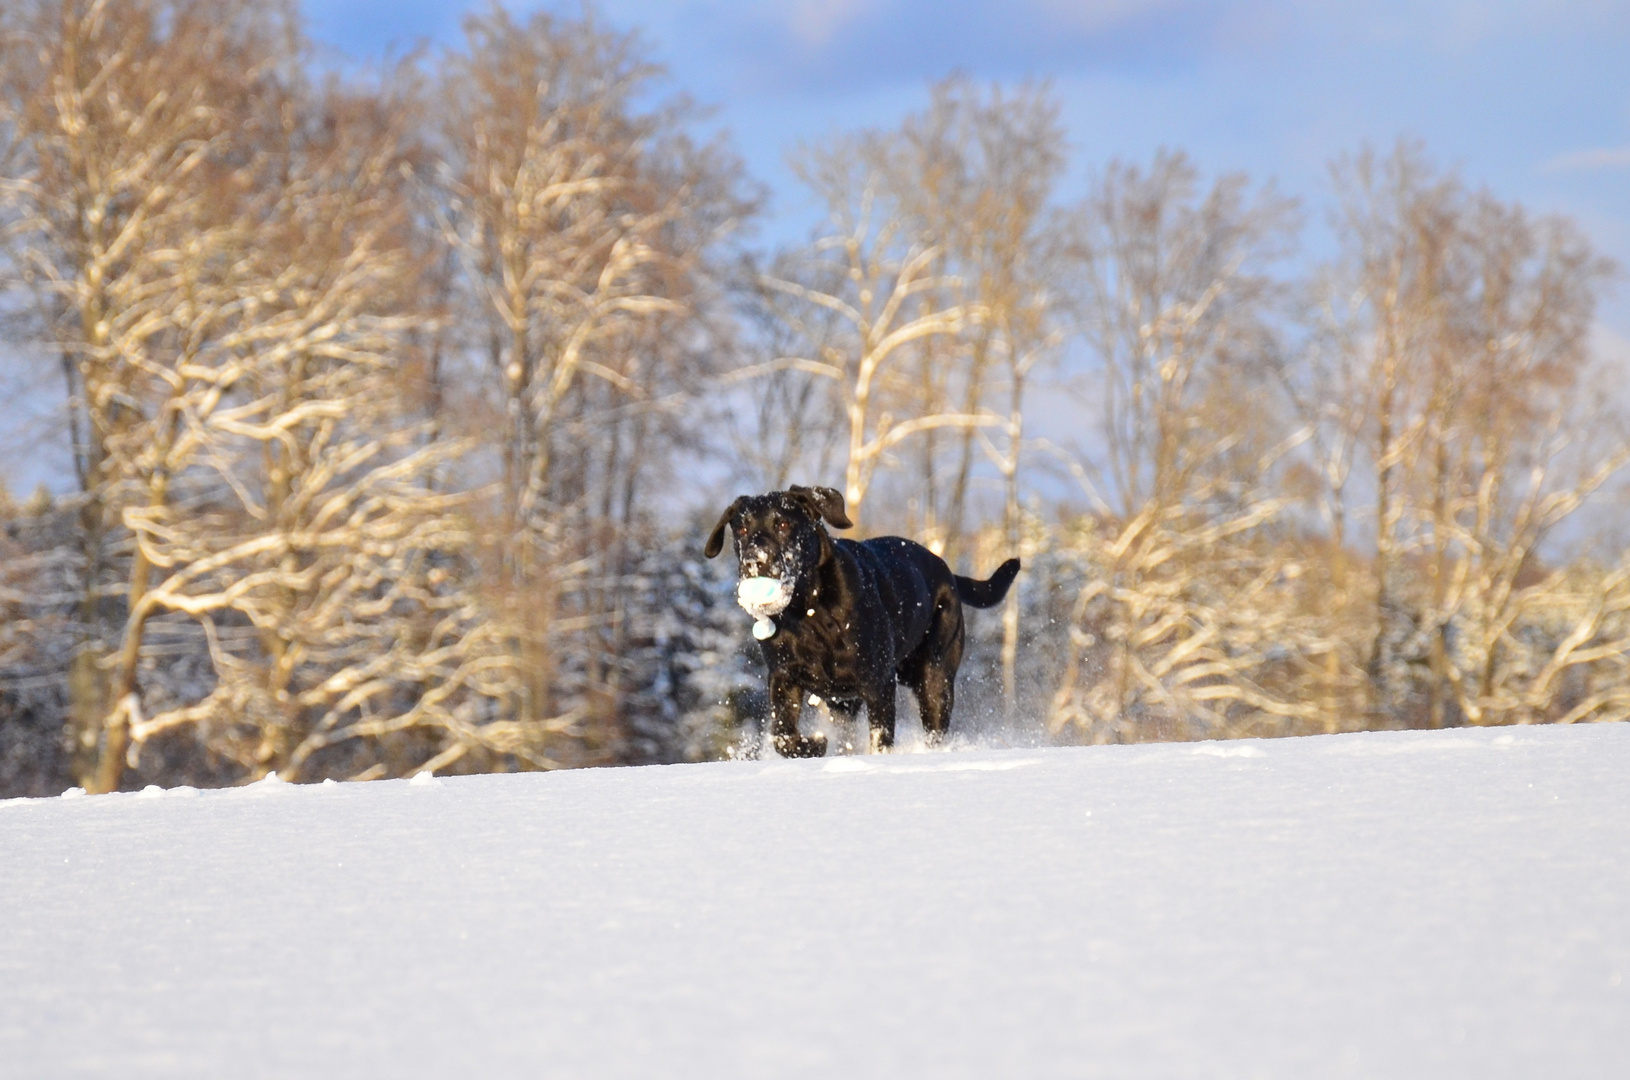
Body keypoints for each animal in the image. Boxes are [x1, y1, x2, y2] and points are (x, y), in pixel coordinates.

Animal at [704, 485, 1017, 755]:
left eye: (782, 525)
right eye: (742, 529)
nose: (754, 561)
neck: (809, 613)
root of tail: (948, 572)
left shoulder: (878, 682)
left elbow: (880, 737)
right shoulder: (783, 676)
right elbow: (782, 735)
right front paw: (813, 745)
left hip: (935, 677)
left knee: (934, 727)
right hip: (848, 702)